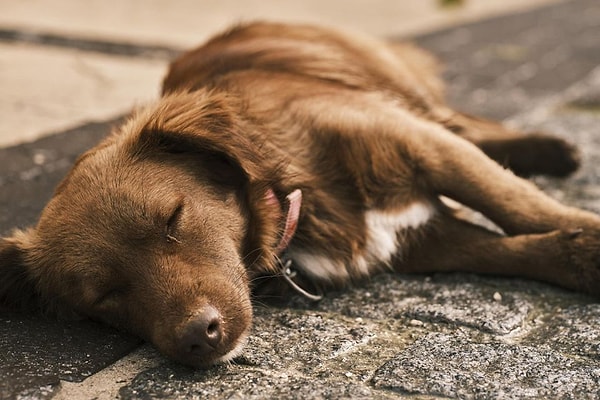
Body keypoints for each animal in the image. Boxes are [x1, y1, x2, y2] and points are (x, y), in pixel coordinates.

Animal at [1, 21, 600, 366]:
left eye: (173, 218)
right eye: (103, 296)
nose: (197, 338)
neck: (293, 194)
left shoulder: (420, 143)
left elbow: (515, 203)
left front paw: (586, 230)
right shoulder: (422, 239)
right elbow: (505, 248)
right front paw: (578, 255)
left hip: (396, 85)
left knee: (464, 122)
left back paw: (550, 149)